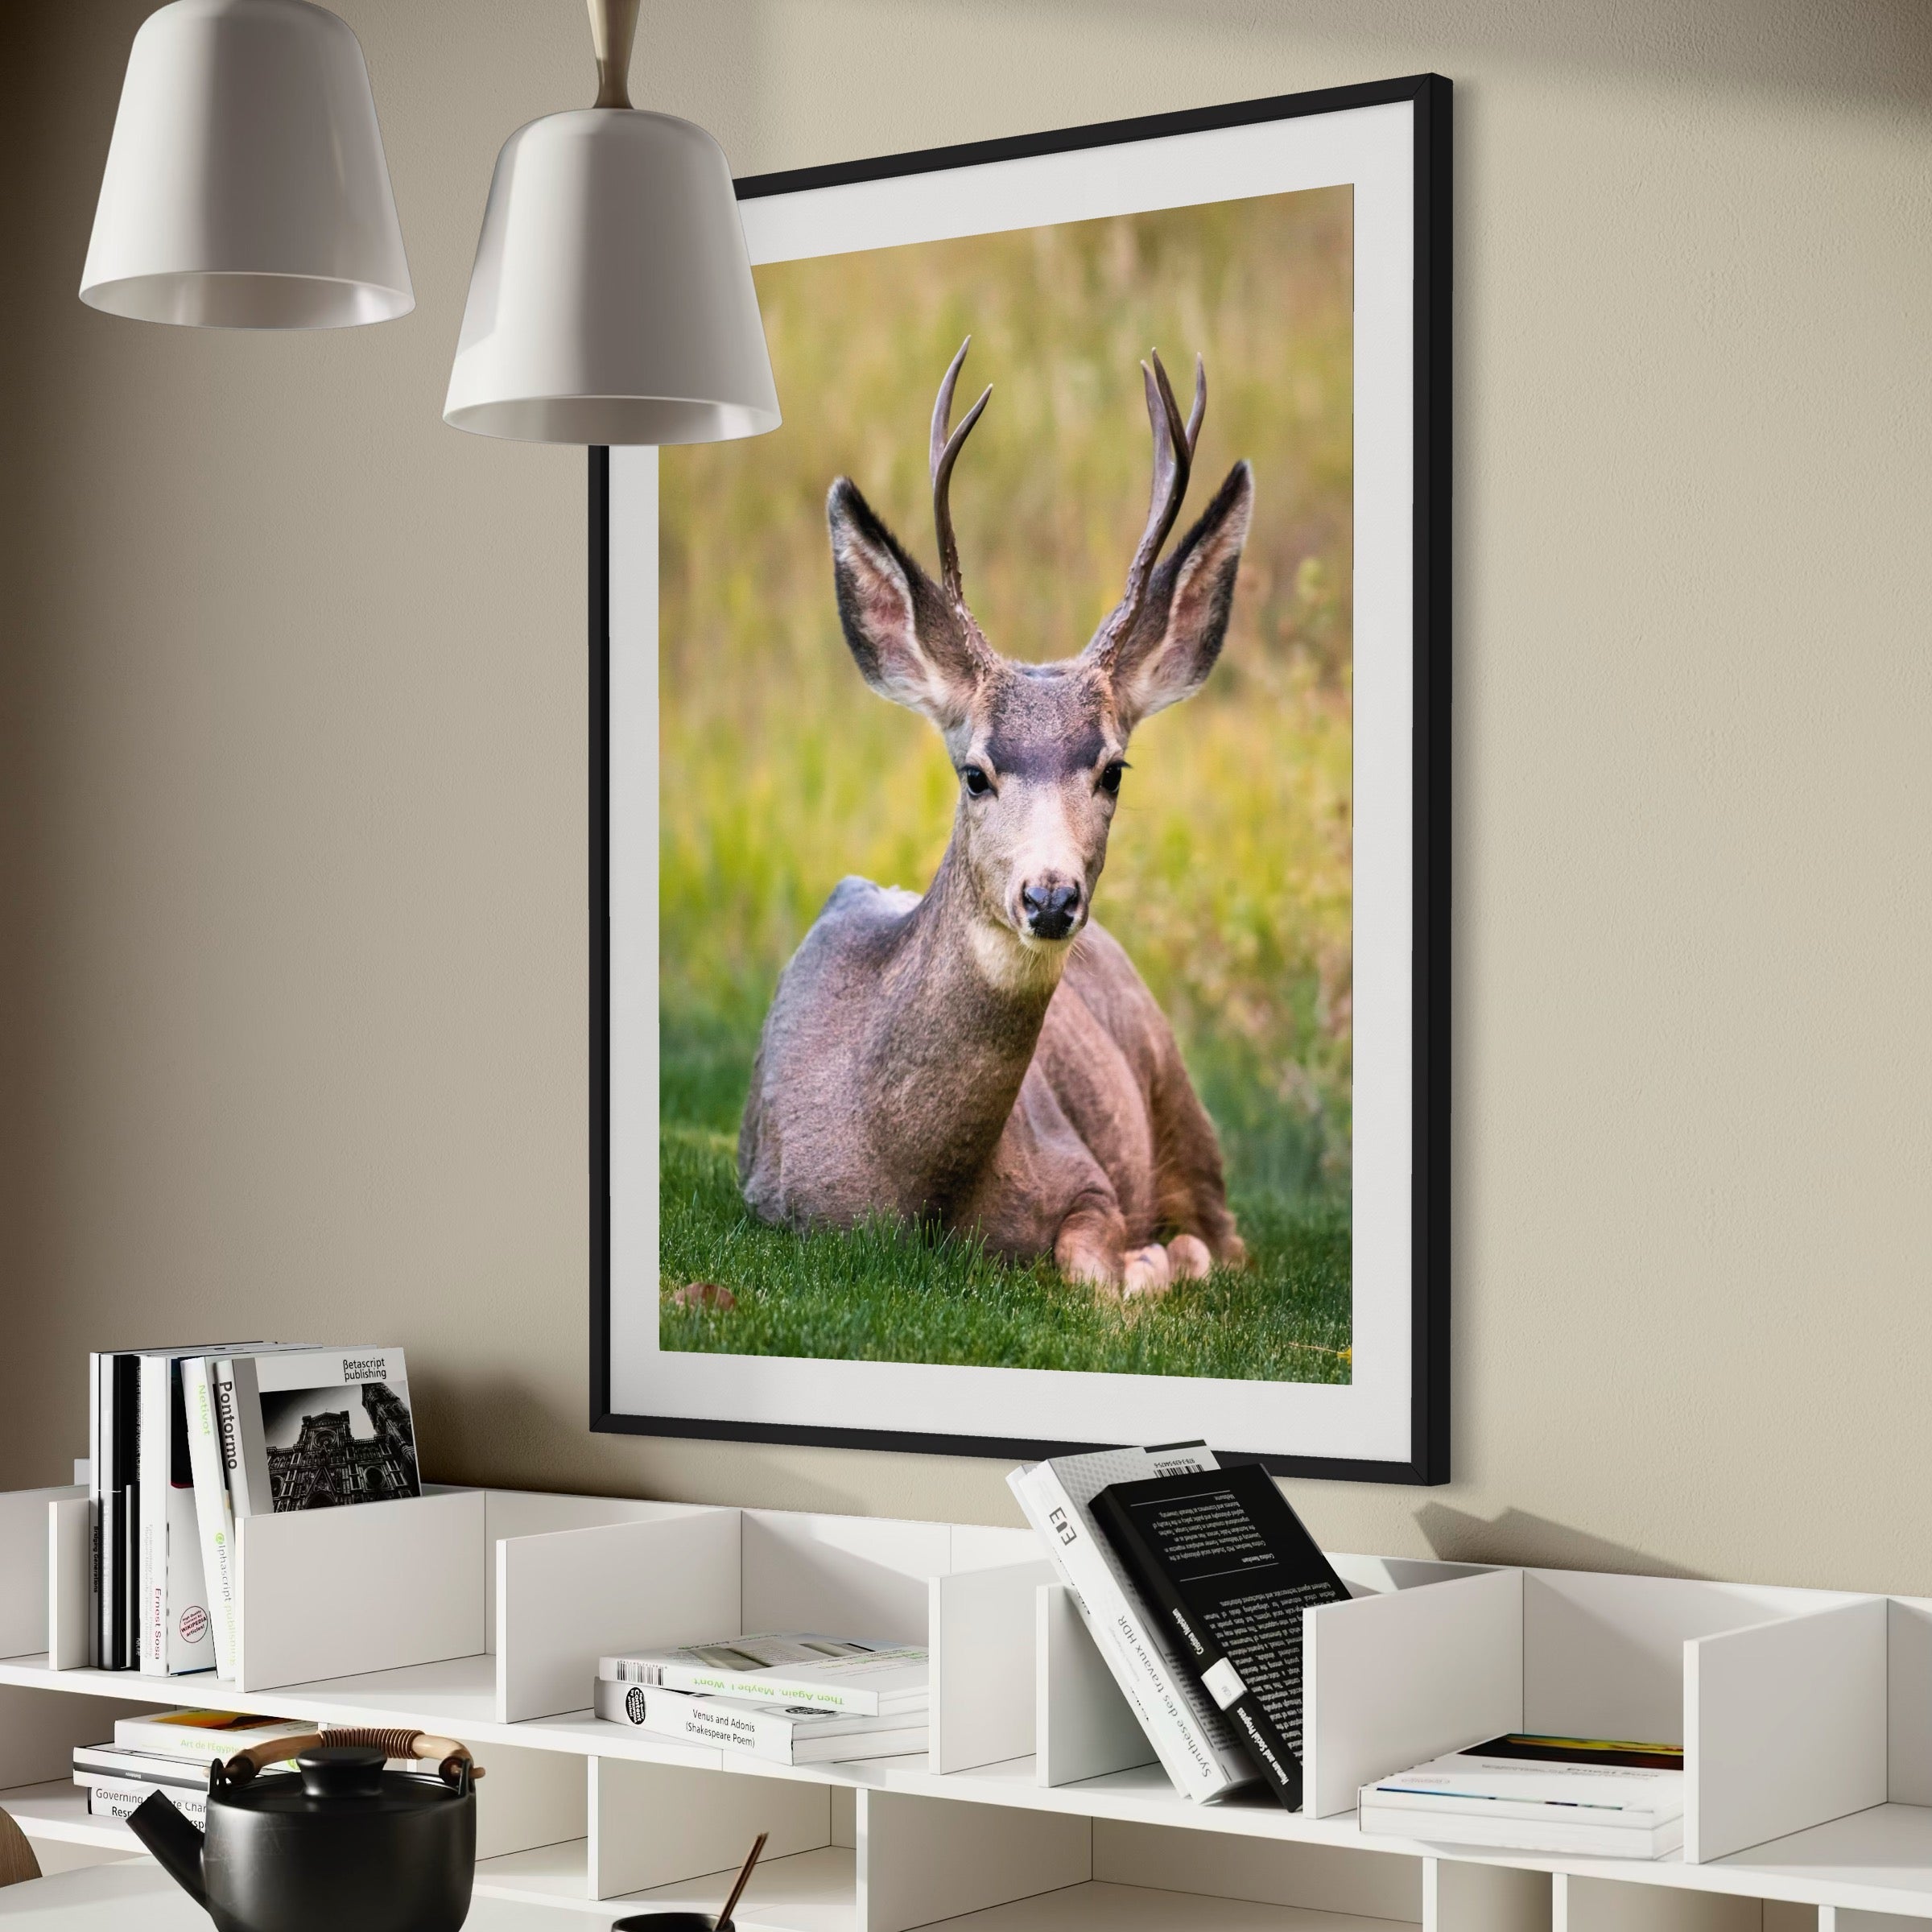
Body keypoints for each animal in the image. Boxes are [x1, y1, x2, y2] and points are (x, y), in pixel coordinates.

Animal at [737, 341, 1253, 1300]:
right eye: (974, 773)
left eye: (1113, 770)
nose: (1050, 898)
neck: (914, 1193)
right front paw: (1155, 1262)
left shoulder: (1083, 1171)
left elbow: (1093, 1261)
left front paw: (1156, 1261)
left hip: (1175, 1087)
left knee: (1229, 1229)